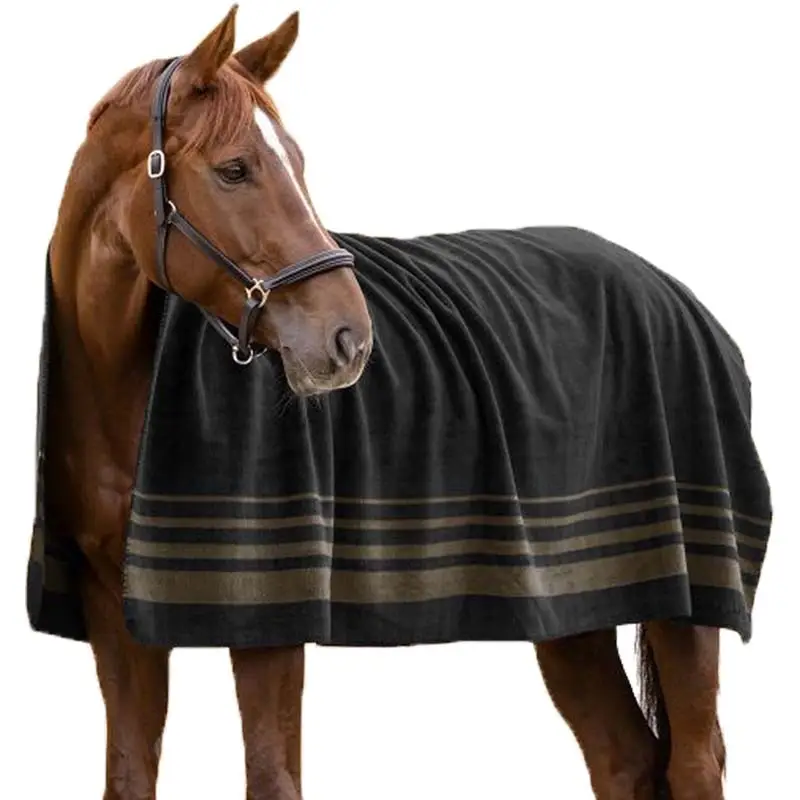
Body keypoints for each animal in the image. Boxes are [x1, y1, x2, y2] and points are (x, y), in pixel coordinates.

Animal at [29, 6, 771, 800]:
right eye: (234, 168)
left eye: (297, 161)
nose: (348, 339)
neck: (120, 390)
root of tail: (678, 297)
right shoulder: (114, 613)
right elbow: (128, 773)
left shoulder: (266, 614)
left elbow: (272, 775)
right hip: (576, 609)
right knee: (623, 758)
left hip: (687, 603)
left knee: (693, 761)